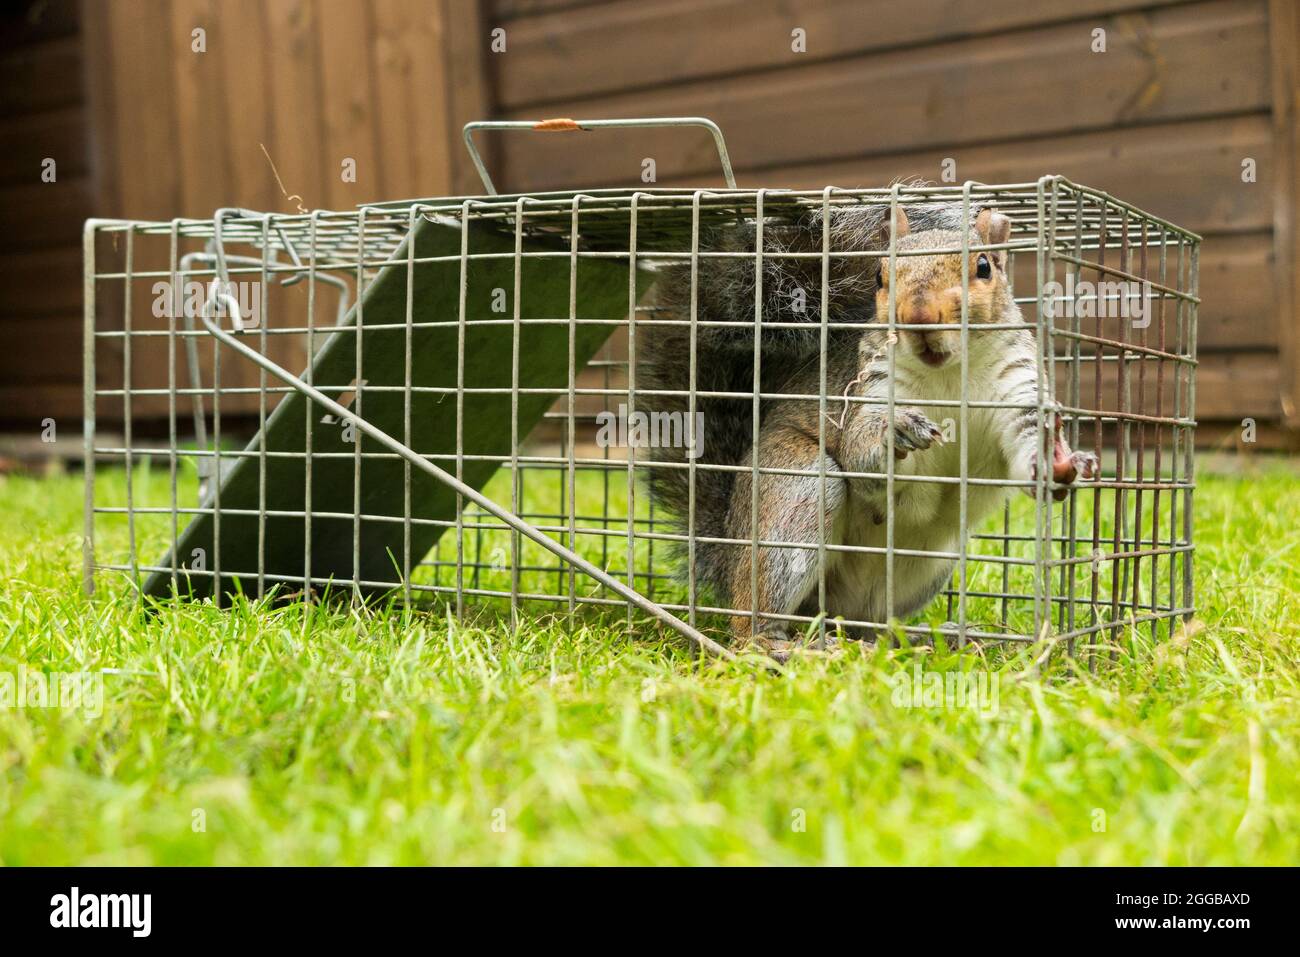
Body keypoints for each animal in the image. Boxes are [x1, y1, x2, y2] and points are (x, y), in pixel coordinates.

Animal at [637, 196, 1097, 657]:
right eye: (880, 275)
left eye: (984, 267)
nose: (917, 314)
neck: (951, 374)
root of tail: (730, 554)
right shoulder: (869, 390)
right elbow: (862, 455)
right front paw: (893, 431)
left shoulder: (1019, 389)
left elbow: (1026, 444)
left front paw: (1060, 462)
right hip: (793, 497)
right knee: (752, 619)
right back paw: (778, 643)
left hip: (928, 566)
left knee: (869, 625)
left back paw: (922, 639)